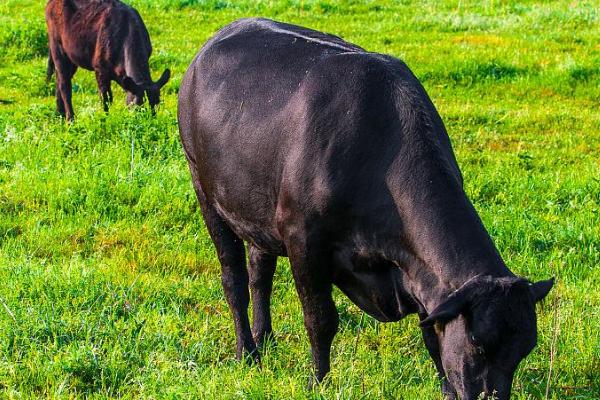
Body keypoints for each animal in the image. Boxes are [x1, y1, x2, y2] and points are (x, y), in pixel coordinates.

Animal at [177, 18, 552, 400]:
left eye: (524, 348)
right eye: (478, 343)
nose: (491, 395)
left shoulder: (419, 275)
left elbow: (432, 335)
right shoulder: (303, 240)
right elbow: (321, 319)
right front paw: (318, 381)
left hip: (256, 209)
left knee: (259, 273)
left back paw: (265, 339)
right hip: (205, 190)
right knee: (235, 280)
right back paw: (248, 353)